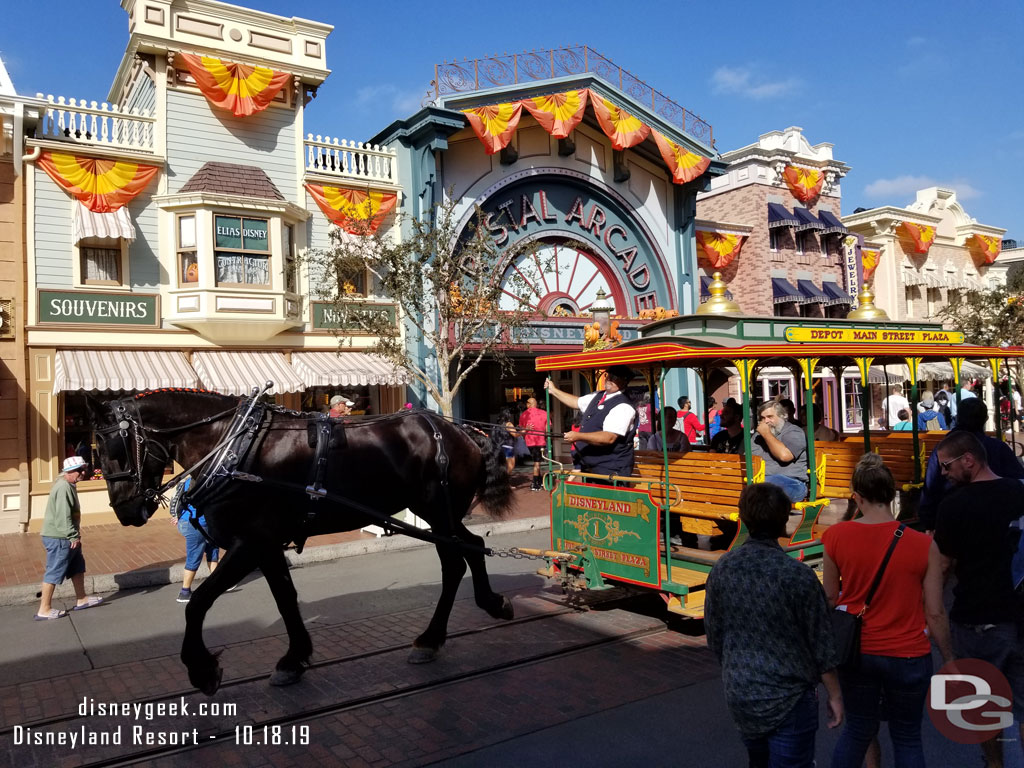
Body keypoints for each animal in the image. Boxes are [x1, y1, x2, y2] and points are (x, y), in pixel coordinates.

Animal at [89, 391, 516, 696]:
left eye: (114, 449)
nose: (125, 510)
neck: (230, 448)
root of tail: (464, 432)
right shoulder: (266, 544)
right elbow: (285, 598)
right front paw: (293, 660)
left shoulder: (250, 542)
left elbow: (199, 603)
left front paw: (202, 669)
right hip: (441, 515)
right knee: (471, 547)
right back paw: (486, 606)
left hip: (438, 512)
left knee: (455, 561)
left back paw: (432, 637)